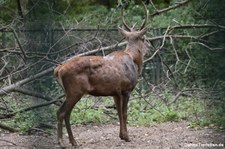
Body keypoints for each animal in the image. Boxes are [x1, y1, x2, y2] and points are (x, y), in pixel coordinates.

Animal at [54, 1, 149, 147]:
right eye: (144, 38)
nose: (149, 46)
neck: (134, 61)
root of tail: (59, 69)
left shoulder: (116, 92)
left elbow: (119, 113)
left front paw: (121, 135)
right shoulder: (126, 89)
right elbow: (125, 113)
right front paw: (127, 137)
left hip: (68, 92)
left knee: (64, 113)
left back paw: (72, 141)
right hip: (75, 90)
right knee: (62, 112)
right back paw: (63, 142)